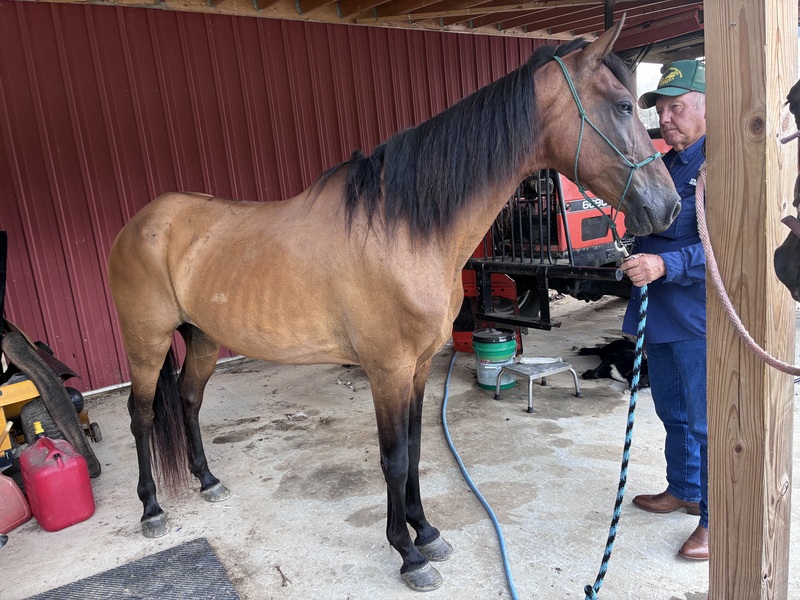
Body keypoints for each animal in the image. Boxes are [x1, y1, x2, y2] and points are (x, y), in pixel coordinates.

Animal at [107, 19, 680, 592]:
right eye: (623, 106)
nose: (668, 206)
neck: (402, 230)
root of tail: (140, 223)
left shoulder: (420, 365)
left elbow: (417, 448)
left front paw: (426, 532)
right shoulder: (387, 369)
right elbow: (394, 457)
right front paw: (408, 555)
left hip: (202, 337)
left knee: (188, 400)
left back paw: (207, 480)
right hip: (146, 342)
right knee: (141, 414)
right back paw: (152, 509)